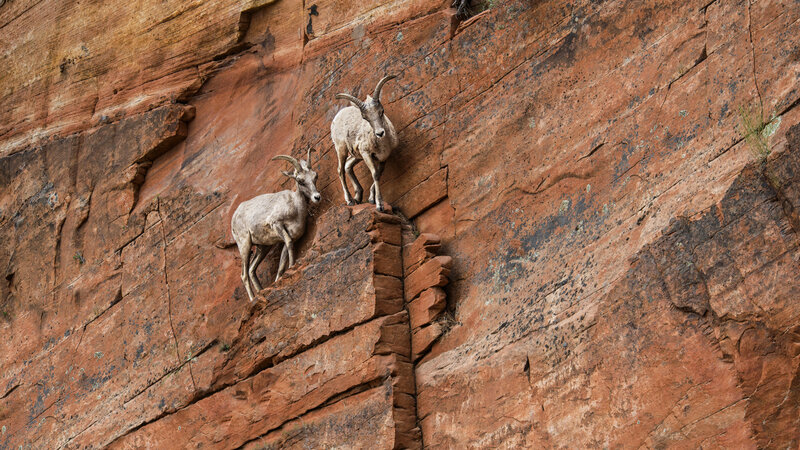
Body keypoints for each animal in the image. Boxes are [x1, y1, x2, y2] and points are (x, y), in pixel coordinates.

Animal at [231, 149, 320, 301]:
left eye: (315, 176)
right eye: (300, 181)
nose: (317, 197)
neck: (296, 208)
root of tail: (235, 215)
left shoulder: (288, 237)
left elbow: (281, 264)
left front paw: (279, 279)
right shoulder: (276, 224)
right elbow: (289, 245)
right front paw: (293, 265)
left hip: (263, 247)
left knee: (251, 269)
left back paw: (261, 292)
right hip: (244, 245)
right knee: (244, 274)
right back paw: (252, 299)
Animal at [331, 75, 399, 212]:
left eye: (382, 111)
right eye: (365, 117)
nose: (380, 133)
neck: (384, 144)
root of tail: (336, 118)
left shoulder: (383, 158)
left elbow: (378, 174)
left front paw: (371, 199)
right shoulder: (367, 154)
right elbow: (375, 174)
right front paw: (379, 205)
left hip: (356, 155)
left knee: (347, 166)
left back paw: (358, 197)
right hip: (342, 149)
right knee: (340, 169)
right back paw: (350, 200)